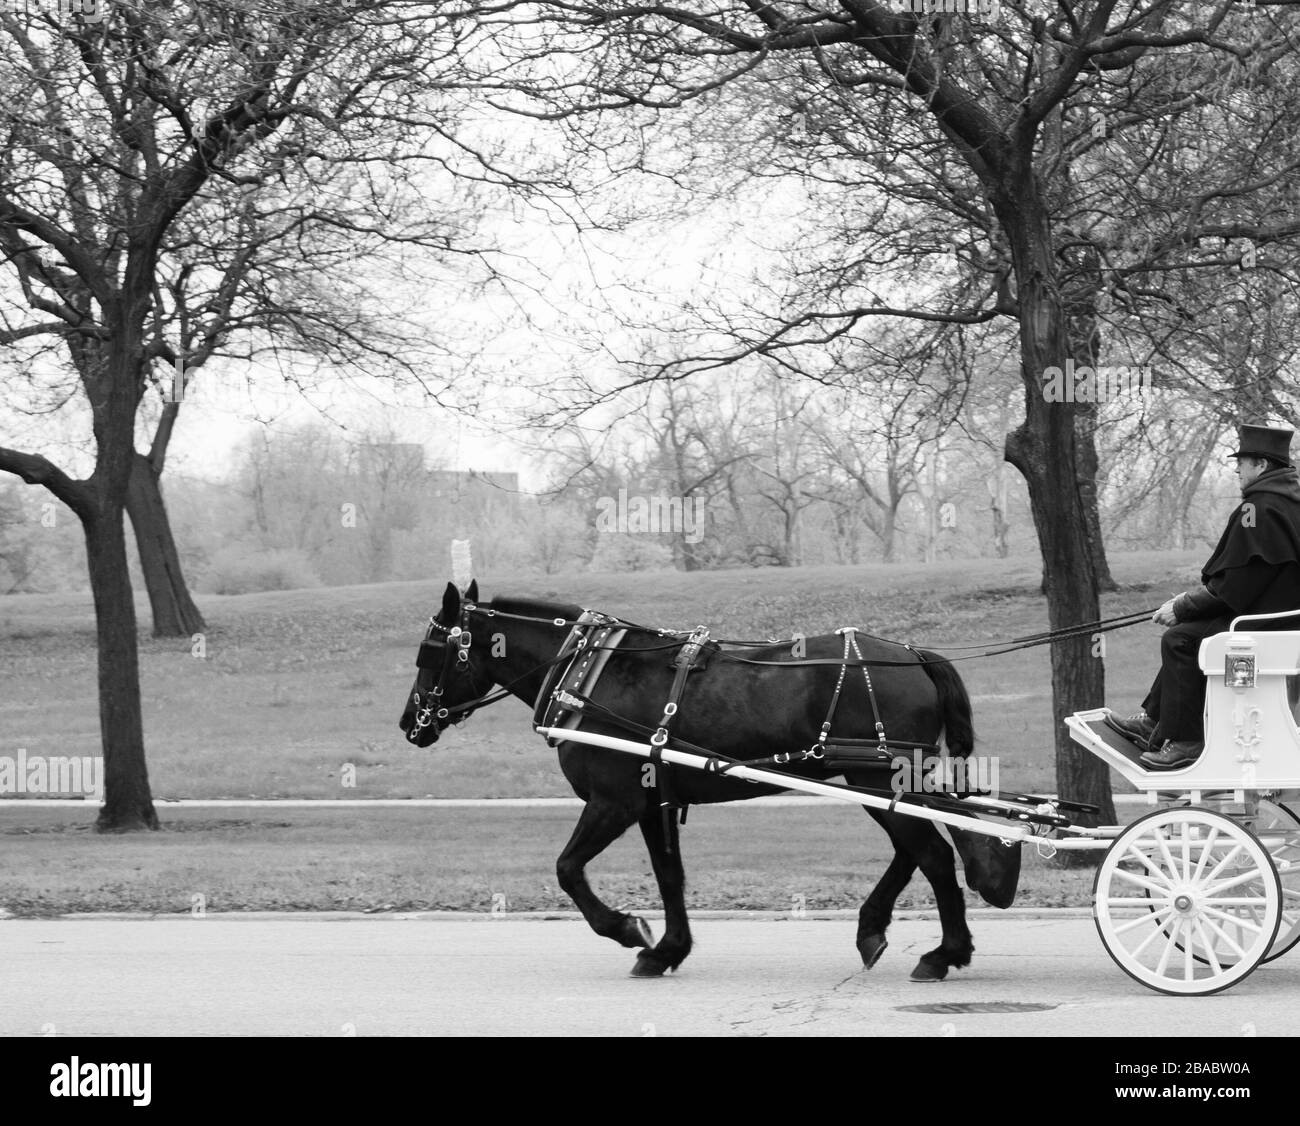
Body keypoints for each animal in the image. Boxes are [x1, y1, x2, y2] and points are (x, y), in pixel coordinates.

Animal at [395, 582, 1013, 977]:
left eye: (430, 649)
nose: (410, 723)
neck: (588, 672)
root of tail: (914, 655)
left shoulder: (614, 801)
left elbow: (568, 869)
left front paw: (628, 929)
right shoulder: (654, 803)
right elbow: (670, 876)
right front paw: (667, 949)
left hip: (876, 775)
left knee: (932, 855)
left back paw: (944, 953)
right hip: (880, 782)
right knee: (916, 851)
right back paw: (876, 929)